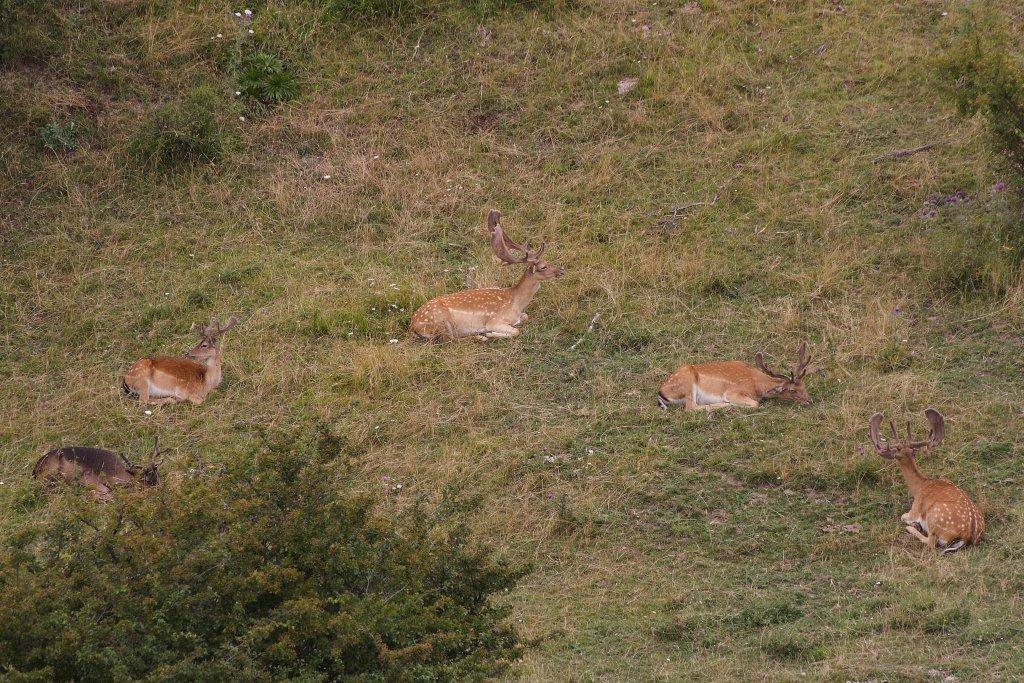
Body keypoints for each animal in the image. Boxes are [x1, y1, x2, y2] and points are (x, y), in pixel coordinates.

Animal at [409, 208, 569, 342]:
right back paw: (481, 336)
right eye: (543, 267)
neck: (516, 303)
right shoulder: (495, 320)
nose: (562, 270)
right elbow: (515, 331)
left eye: (548, 261)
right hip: (440, 322)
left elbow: (526, 316)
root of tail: (413, 324)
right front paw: (490, 333)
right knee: (450, 339)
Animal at [659, 342, 811, 411]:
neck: (757, 385)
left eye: (804, 385)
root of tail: (661, 393)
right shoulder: (733, 392)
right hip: (688, 384)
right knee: (690, 408)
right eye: (792, 390)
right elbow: (755, 404)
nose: (810, 400)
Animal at [864, 409, 983, 552]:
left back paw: (912, 528)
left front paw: (913, 523)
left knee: (931, 543)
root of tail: (967, 536)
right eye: (912, 453)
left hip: (935, 518)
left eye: (898, 457)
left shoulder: (914, 509)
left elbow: (903, 516)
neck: (920, 486)